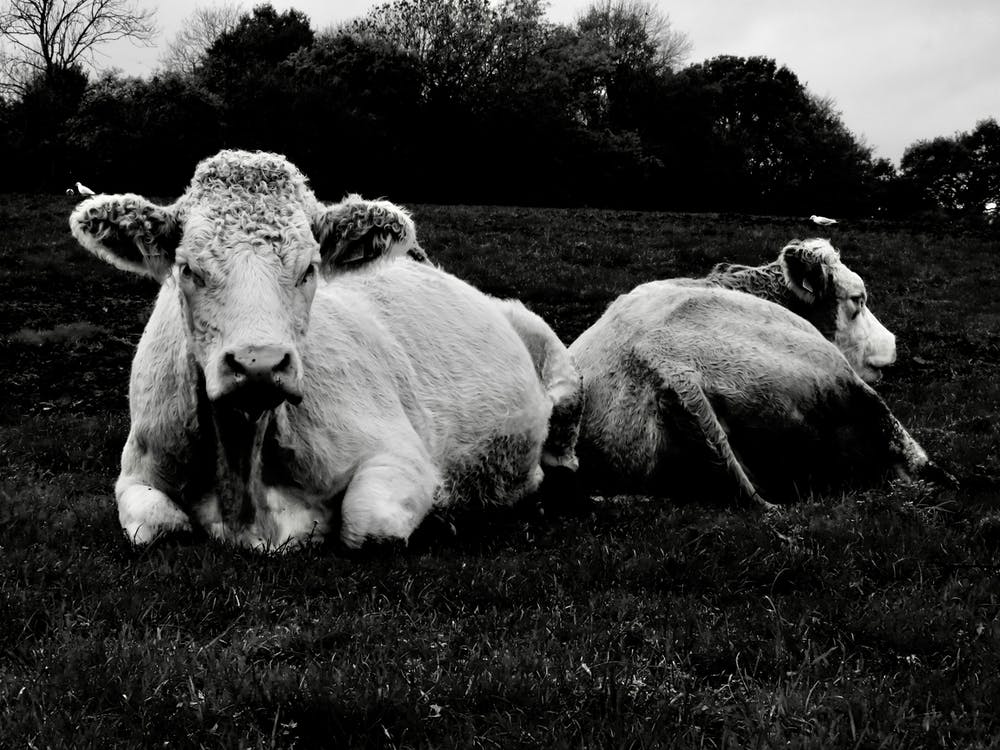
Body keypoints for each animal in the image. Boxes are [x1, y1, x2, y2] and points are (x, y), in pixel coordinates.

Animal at [69, 149, 577, 551]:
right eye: (189, 268)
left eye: (309, 268)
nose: (258, 364)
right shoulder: (137, 469)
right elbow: (156, 527)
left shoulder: (398, 452)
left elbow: (370, 523)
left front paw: (442, 510)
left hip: (551, 352)